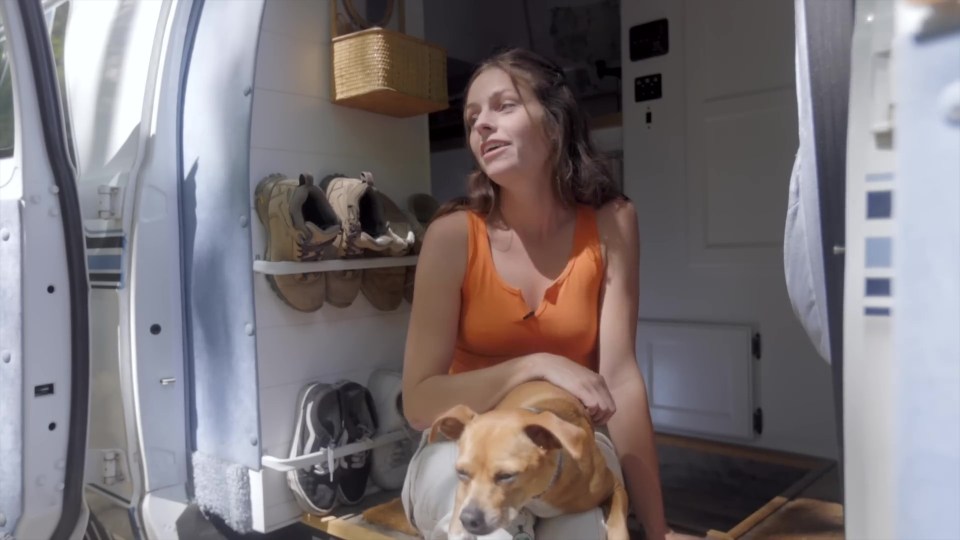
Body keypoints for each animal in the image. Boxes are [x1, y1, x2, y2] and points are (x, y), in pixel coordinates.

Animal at [428, 380, 632, 540]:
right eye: (461, 472)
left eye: (507, 475)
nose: (469, 519)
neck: (539, 494)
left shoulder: (615, 487)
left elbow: (618, 523)